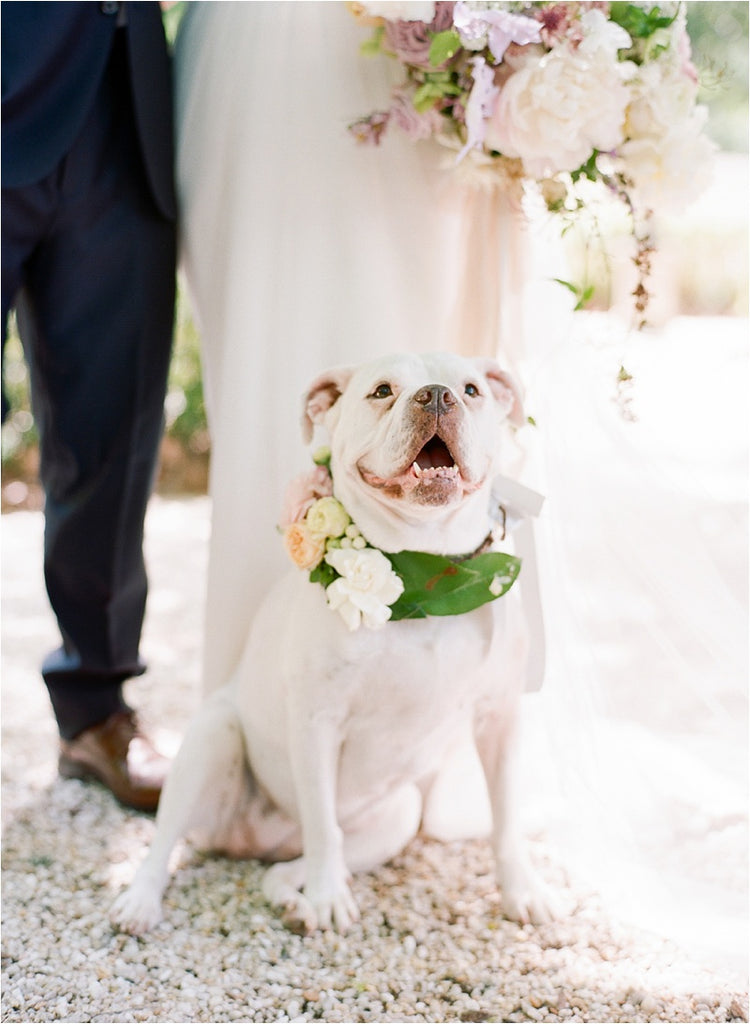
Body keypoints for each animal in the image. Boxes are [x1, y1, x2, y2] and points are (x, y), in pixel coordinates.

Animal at [112, 352, 557, 937]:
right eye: (382, 391)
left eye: (471, 389)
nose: (437, 395)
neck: (428, 575)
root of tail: (257, 838)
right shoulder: (316, 721)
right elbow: (323, 823)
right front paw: (327, 898)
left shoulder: (500, 717)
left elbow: (505, 817)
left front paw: (523, 890)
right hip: (214, 738)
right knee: (170, 841)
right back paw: (141, 900)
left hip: (397, 816)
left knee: (294, 864)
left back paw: (291, 901)